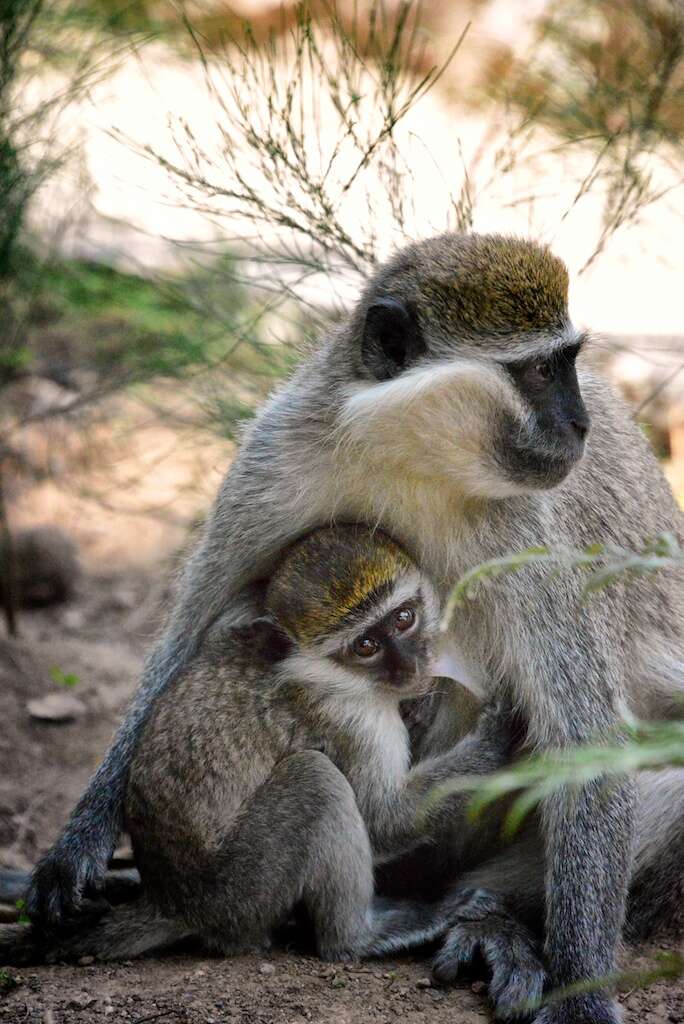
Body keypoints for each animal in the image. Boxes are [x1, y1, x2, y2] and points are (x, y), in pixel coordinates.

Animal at [0, 528, 511, 966]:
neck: (326, 672)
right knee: (315, 780)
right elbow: (384, 816)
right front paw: (498, 741)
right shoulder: (353, 721)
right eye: (366, 645)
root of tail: (172, 901)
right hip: (241, 888)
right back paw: (357, 938)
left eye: (404, 618)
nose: (410, 666)